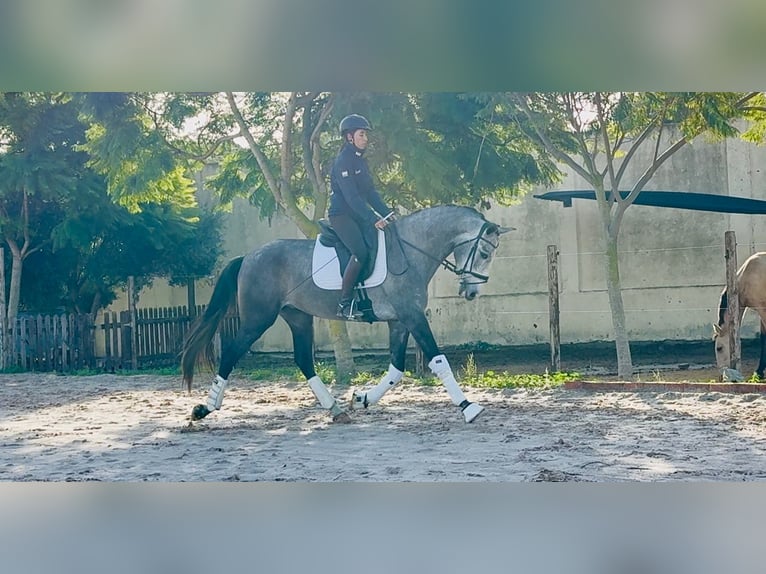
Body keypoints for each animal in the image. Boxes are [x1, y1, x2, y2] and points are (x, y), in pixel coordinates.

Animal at [181, 205, 512, 424]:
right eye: (485, 253)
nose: (471, 292)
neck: (410, 251)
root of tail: (249, 256)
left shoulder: (399, 321)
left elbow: (396, 370)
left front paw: (362, 398)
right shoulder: (413, 316)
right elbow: (438, 360)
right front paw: (469, 407)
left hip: (298, 317)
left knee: (304, 359)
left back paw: (336, 409)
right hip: (258, 319)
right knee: (231, 352)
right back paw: (205, 408)